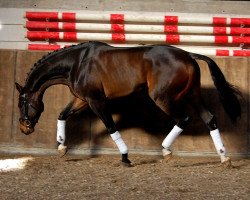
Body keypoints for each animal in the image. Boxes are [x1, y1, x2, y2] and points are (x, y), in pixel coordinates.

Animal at [15, 41, 240, 166]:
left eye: (21, 103)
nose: (24, 128)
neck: (77, 63)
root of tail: (187, 55)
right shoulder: (82, 99)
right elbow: (62, 115)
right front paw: (62, 147)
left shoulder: (96, 101)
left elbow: (111, 127)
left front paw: (125, 158)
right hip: (193, 96)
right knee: (210, 119)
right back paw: (224, 159)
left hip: (163, 98)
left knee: (183, 118)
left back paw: (166, 151)